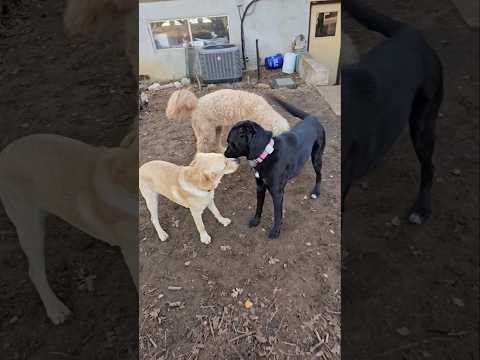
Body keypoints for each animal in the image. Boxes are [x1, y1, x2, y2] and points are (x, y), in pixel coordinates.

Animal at [225, 102, 326, 239]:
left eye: (230, 142)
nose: (224, 154)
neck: (266, 153)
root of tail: (312, 117)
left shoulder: (277, 193)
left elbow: (277, 214)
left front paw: (276, 231)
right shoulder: (260, 187)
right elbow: (259, 207)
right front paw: (256, 221)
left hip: (317, 157)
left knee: (319, 175)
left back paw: (316, 191)